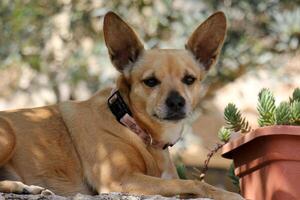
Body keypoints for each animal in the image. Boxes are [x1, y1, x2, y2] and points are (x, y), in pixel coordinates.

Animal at [0, 11, 243, 199]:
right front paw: (228, 194)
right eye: (150, 81)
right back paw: (22, 187)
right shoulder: (120, 180)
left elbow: (184, 184)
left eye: (189, 79)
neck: (131, 124)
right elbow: (193, 182)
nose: (176, 102)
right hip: (8, 135)